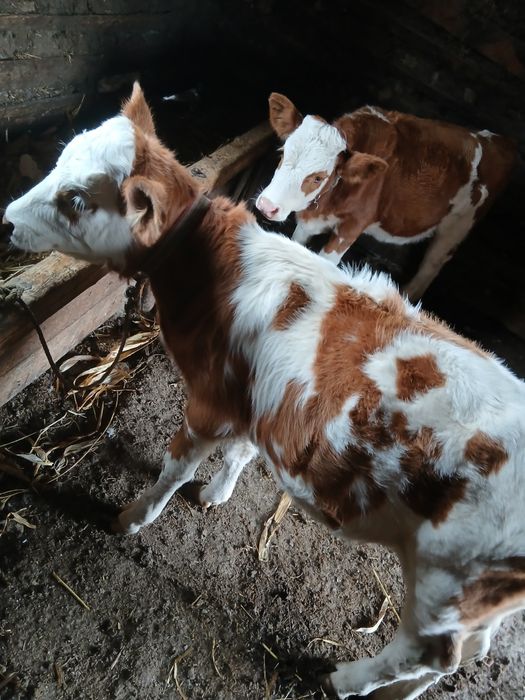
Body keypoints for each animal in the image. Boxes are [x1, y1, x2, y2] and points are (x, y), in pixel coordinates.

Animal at [256, 93, 516, 300]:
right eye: (282, 152)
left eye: (319, 177)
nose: (267, 205)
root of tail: (498, 140)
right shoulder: (309, 220)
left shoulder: (353, 225)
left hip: (459, 226)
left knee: (432, 264)